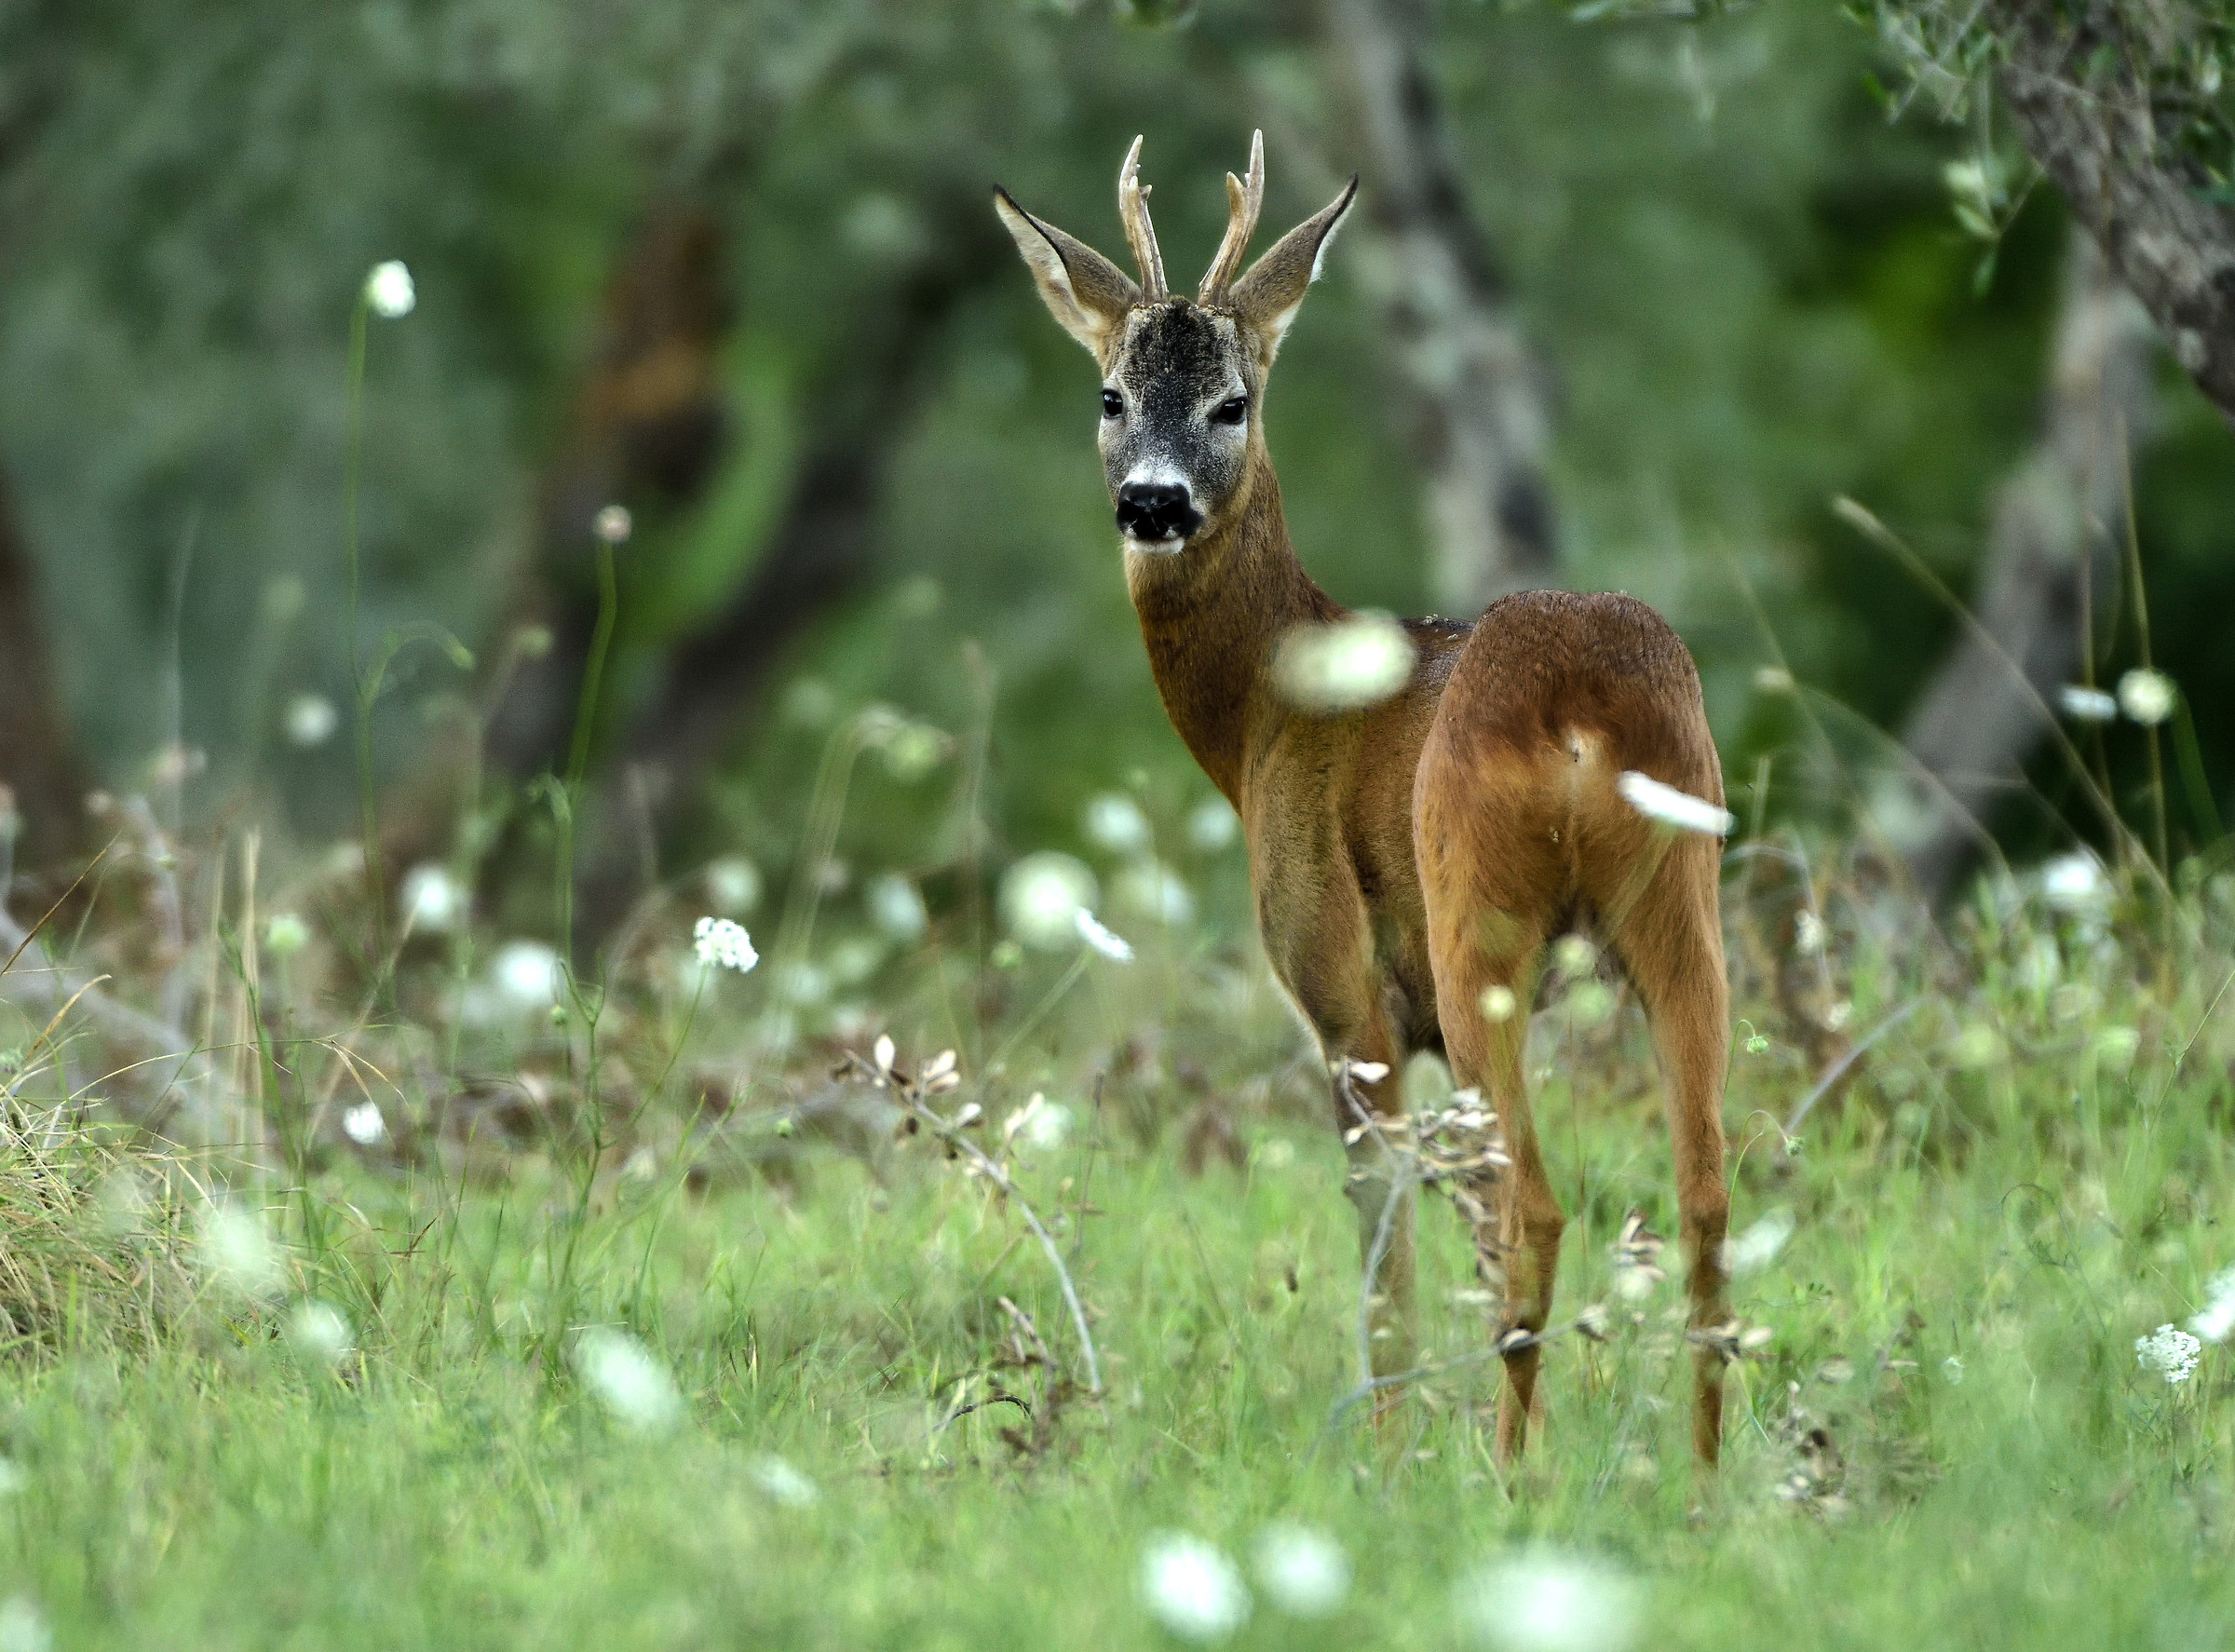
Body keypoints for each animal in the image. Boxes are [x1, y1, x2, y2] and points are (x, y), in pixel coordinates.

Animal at [994, 134, 1733, 1468]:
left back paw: (1510, 1474)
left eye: (1232, 402)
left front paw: (1388, 1457)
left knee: (1528, 1205)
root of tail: (1586, 706)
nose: (1152, 502)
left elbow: (1379, 1230)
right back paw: (1706, 1486)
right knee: (1705, 1188)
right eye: (1111, 396)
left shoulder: (1341, 984)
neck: (1266, 714)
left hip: (1475, 920)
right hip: (1685, 899)